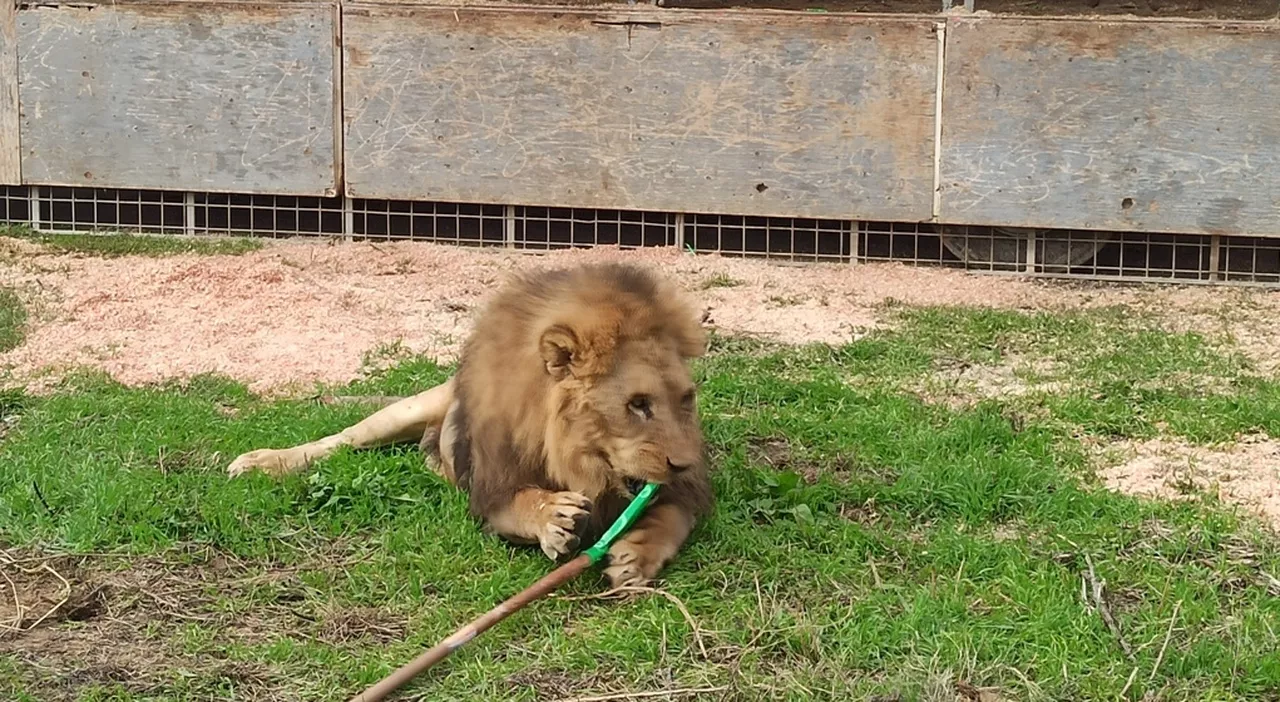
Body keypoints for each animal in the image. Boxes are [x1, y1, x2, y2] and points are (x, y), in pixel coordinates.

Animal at [225, 260, 716, 589]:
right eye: (637, 404)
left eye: (686, 399)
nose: (686, 464)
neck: (579, 459)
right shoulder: (490, 491)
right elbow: (518, 503)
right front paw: (553, 515)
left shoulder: (680, 492)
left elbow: (673, 516)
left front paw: (637, 554)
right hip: (404, 412)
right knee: (340, 439)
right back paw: (260, 461)